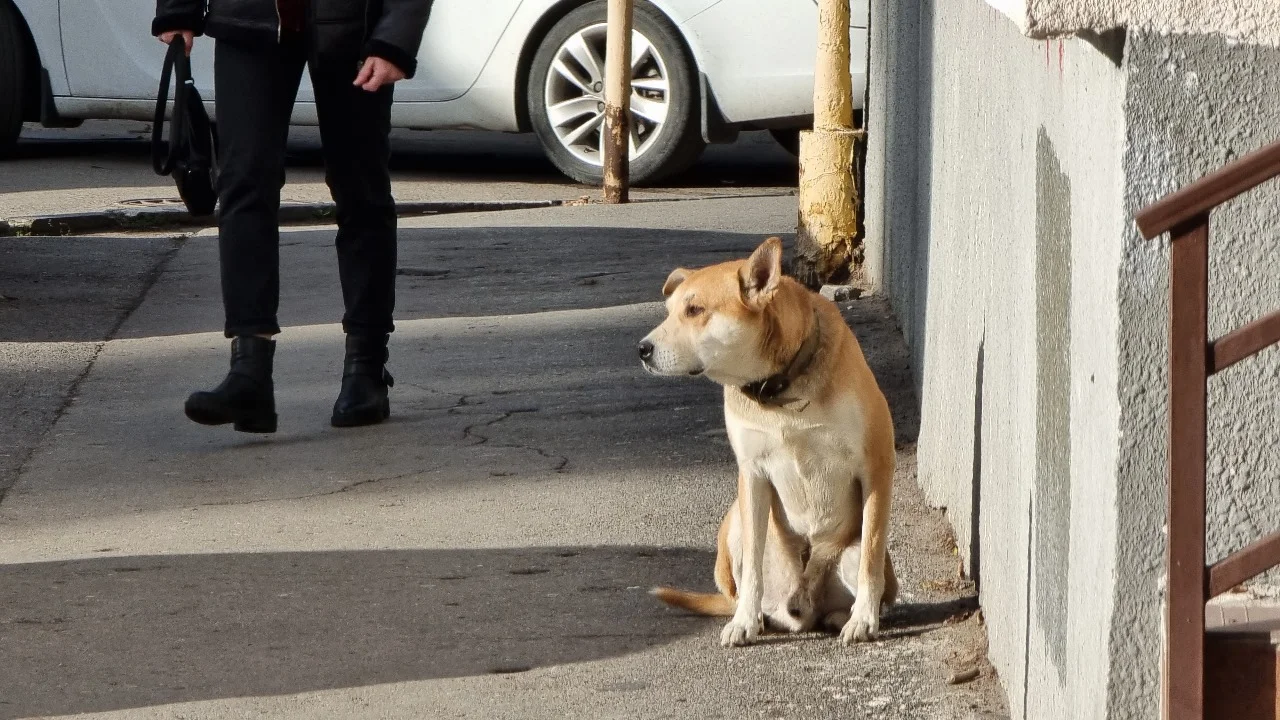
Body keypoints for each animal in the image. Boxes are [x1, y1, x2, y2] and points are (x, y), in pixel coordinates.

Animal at [637, 237, 896, 645]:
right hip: (733, 523)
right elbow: (753, 569)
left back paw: (842, 615)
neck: (780, 392)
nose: (642, 349)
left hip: (847, 557)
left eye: (695, 310)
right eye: (669, 312)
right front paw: (745, 621)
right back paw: (755, 616)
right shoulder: (752, 474)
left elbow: (871, 553)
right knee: (747, 583)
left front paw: (864, 620)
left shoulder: (877, 466)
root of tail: (805, 607)